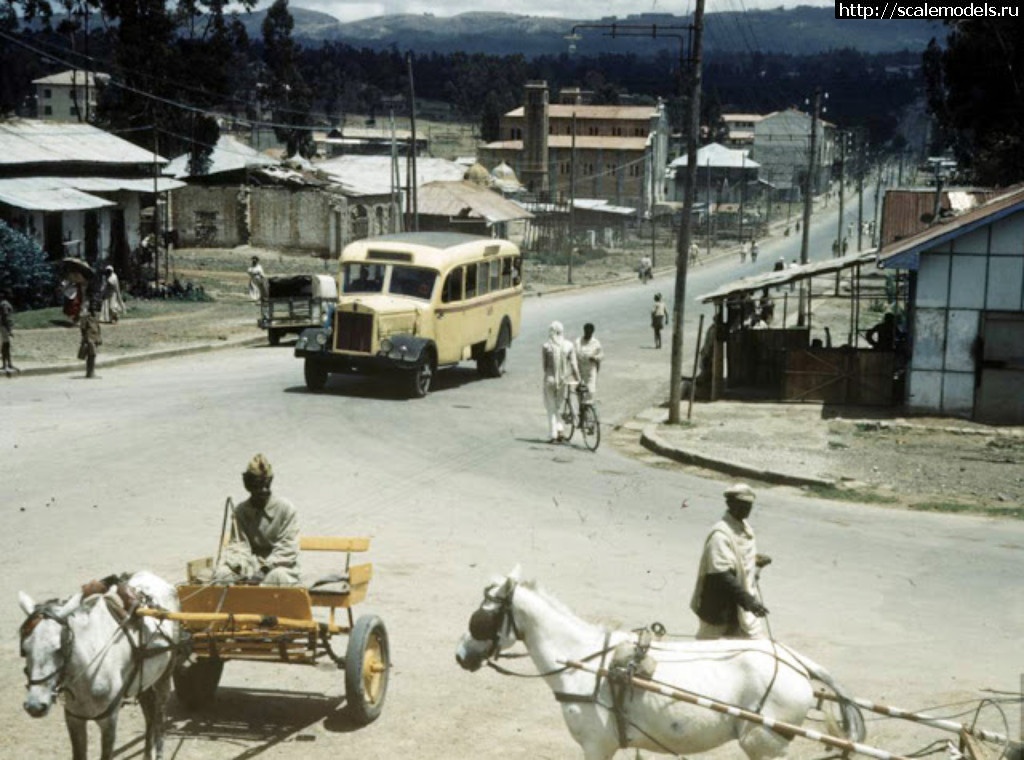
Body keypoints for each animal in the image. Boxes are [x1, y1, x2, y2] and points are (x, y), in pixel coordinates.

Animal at [18, 573, 182, 760]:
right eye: (25, 649)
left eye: (59, 648)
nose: (35, 706)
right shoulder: (74, 719)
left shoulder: (108, 721)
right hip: (144, 681)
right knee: (150, 715)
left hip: (165, 676)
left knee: (160, 715)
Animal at [456, 573, 864, 760]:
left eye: (481, 619)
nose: (461, 654)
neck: (583, 663)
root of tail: (795, 660)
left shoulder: (595, 745)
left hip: (764, 743)